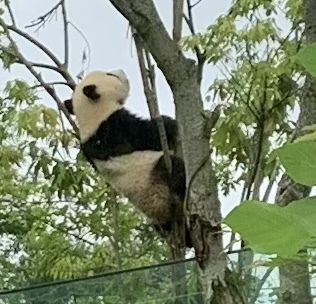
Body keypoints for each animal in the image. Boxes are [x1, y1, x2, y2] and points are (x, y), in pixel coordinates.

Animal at [63, 69, 191, 247]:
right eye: (110, 75)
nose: (121, 71)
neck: (91, 116)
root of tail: (162, 212)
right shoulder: (116, 127)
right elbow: (150, 135)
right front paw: (169, 123)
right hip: (156, 184)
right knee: (176, 170)